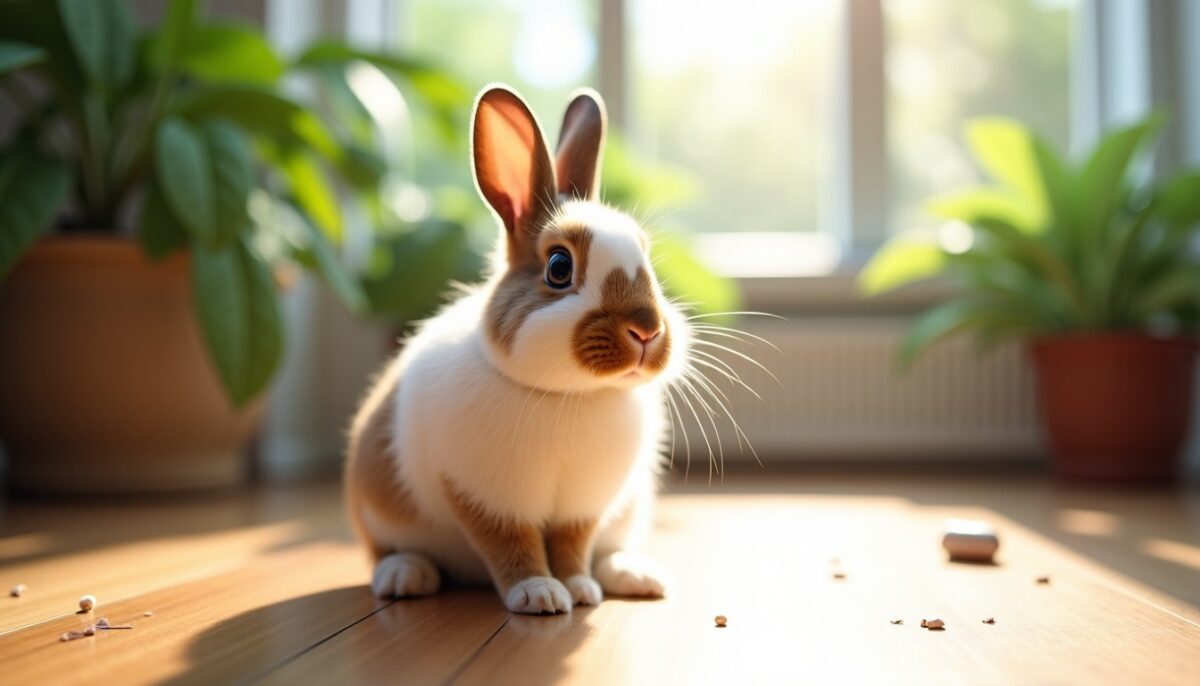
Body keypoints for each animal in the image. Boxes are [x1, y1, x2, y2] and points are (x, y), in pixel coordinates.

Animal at [345, 84, 694, 615]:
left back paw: (636, 576)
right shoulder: (484, 495)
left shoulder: (583, 505)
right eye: (558, 267)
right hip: (377, 505)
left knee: (608, 551)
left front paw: (579, 589)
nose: (647, 331)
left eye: (646, 255)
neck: (570, 396)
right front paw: (539, 594)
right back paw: (405, 576)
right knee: (384, 551)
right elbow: (511, 544)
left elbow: (573, 545)